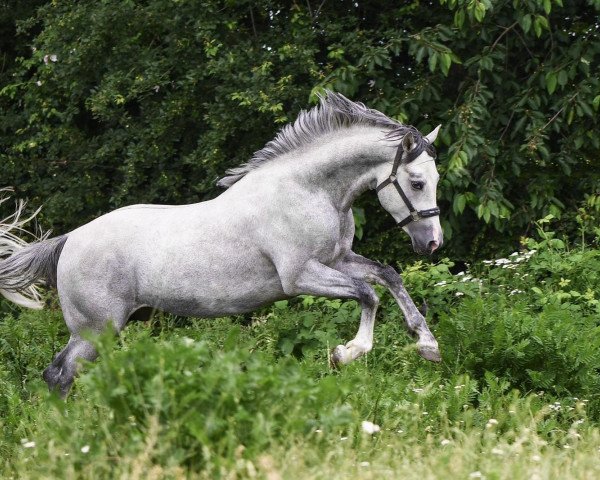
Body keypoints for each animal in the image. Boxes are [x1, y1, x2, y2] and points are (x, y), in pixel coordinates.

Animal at [0, 91, 440, 398]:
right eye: (417, 182)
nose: (433, 243)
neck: (308, 190)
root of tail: (70, 239)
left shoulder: (338, 259)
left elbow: (388, 276)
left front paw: (428, 345)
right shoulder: (300, 276)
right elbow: (368, 293)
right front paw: (346, 353)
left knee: (63, 374)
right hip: (96, 329)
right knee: (60, 374)